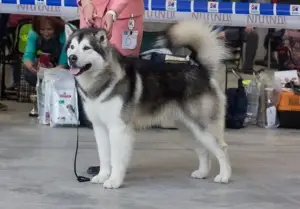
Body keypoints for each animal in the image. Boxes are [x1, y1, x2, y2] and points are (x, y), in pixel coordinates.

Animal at [65, 20, 232, 189]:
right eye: (72, 47)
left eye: (86, 48)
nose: (72, 58)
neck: (102, 80)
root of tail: (200, 69)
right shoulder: (100, 127)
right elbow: (104, 156)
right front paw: (102, 176)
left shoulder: (118, 128)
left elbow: (116, 159)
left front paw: (114, 181)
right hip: (189, 129)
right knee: (203, 149)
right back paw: (202, 172)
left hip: (203, 126)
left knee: (222, 149)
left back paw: (224, 176)